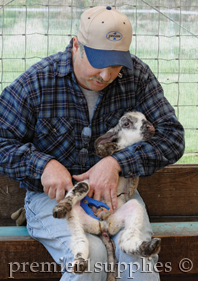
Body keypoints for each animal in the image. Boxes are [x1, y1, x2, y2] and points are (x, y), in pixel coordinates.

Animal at [52, 110, 161, 276]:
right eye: (126, 123)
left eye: (145, 118)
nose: (150, 127)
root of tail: (103, 227)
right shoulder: (91, 179)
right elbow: (81, 186)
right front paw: (107, 148)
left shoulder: (131, 186)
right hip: (77, 215)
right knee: (80, 240)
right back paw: (79, 261)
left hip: (130, 210)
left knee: (126, 240)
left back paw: (148, 247)